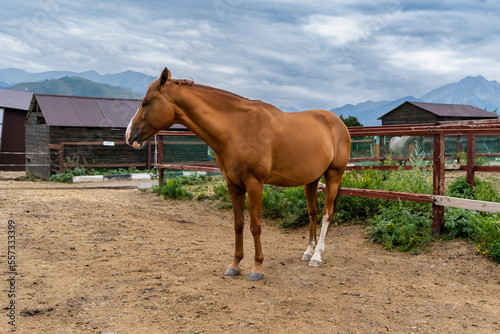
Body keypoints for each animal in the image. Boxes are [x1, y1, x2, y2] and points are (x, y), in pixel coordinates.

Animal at [126, 67, 352, 280]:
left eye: (146, 103)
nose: (129, 136)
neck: (236, 128)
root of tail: (339, 124)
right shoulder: (233, 185)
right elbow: (238, 225)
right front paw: (234, 265)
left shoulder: (255, 184)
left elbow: (255, 226)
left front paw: (257, 267)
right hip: (311, 180)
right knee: (313, 213)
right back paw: (308, 251)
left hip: (333, 176)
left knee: (326, 214)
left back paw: (317, 256)